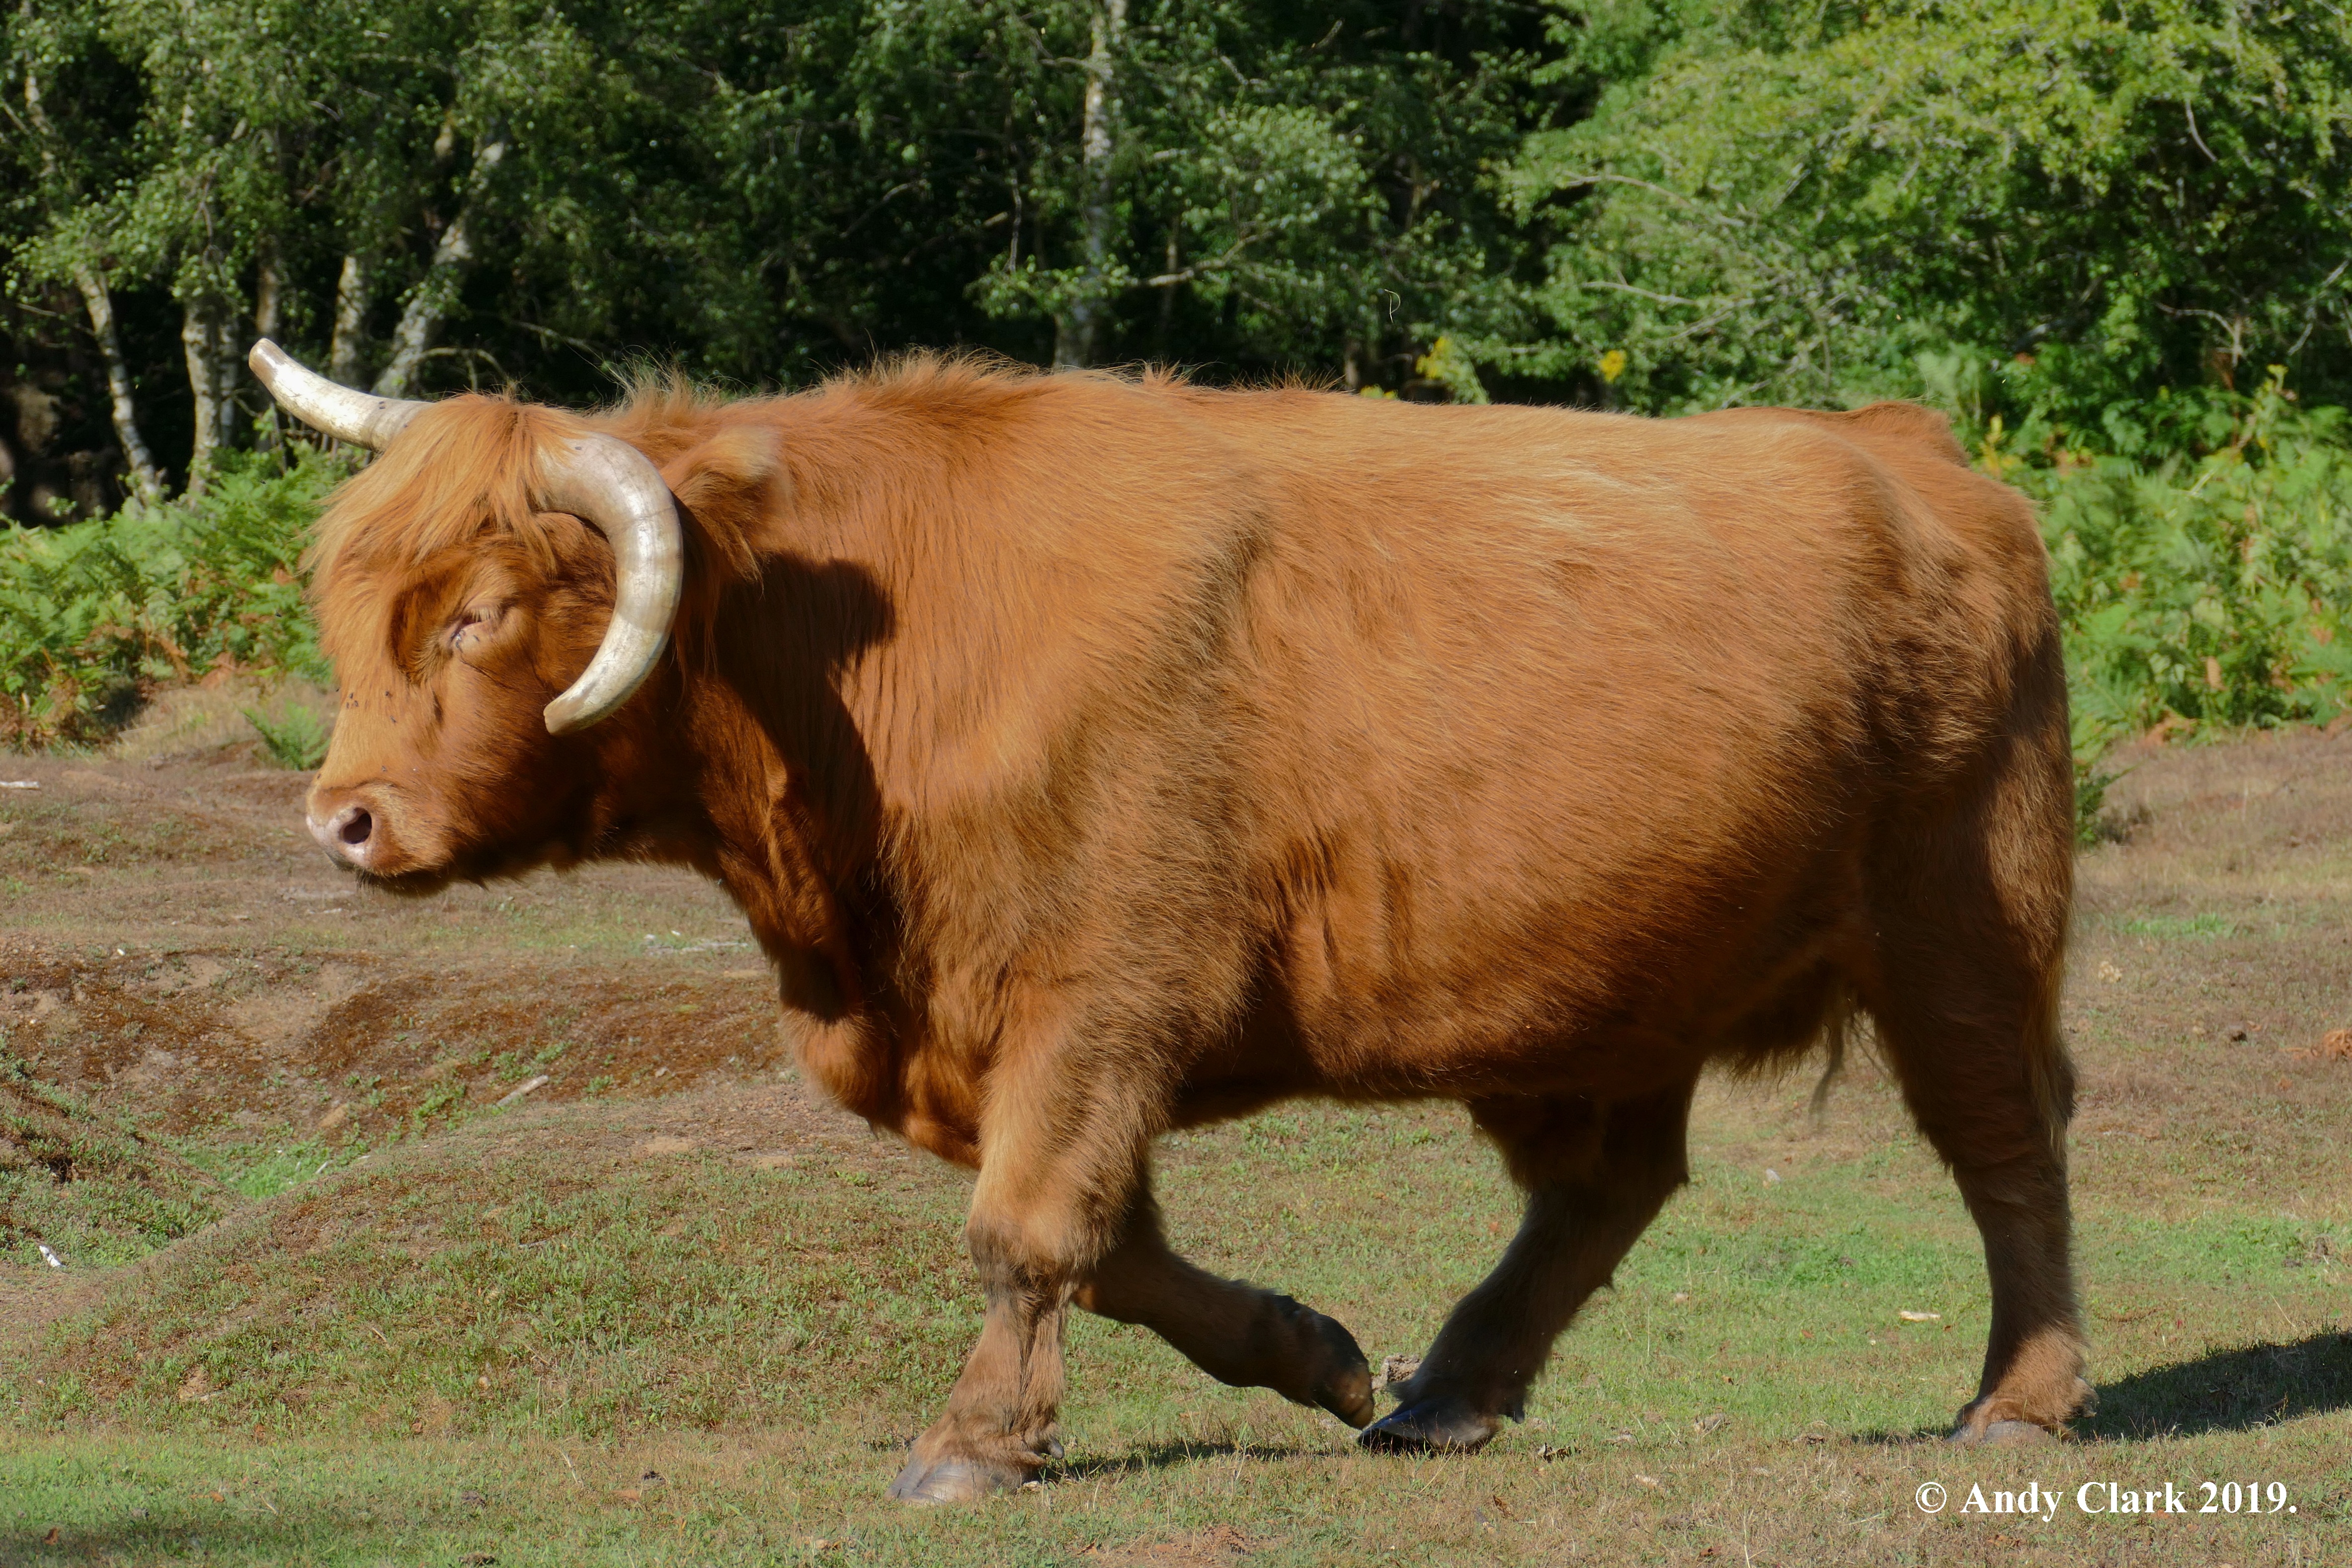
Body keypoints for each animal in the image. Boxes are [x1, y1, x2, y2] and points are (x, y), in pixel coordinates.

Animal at [249, 338, 2090, 1503]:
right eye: (350, 598)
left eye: (482, 610)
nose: (344, 818)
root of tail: (1905, 448)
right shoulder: (1007, 1026)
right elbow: (1113, 1240)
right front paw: (1314, 1353)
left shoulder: (1097, 982)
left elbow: (1025, 1227)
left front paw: (970, 1447)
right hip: (1612, 983)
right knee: (1606, 1186)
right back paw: (1444, 1393)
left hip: (1960, 922)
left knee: (2007, 1143)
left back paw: (2018, 1401)